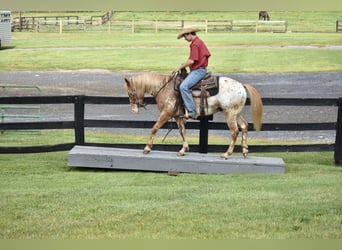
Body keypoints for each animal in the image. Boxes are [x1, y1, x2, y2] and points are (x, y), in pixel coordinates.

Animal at [124, 72, 264, 159]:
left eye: (130, 93)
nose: (134, 110)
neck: (165, 88)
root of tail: (241, 85)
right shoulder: (177, 116)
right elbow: (182, 131)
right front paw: (183, 150)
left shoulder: (166, 113)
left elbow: (155, 128)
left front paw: (147, 148)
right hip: (236, 113)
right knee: (244, 126)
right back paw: (245, 151)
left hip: (229, 114)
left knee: (235, 131)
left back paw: (226, 154)